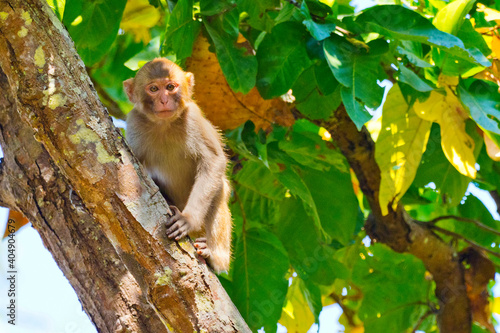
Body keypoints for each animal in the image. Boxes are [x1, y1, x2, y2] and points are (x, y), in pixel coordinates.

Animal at [125, 57, 234, 272]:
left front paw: (187, 220)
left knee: (219, 189)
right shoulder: (134, 123)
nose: (164, 100)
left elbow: (213, 162)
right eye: (153, 89)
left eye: (170, 87)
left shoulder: (192, 117)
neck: (164, 124)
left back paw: (215, 257)